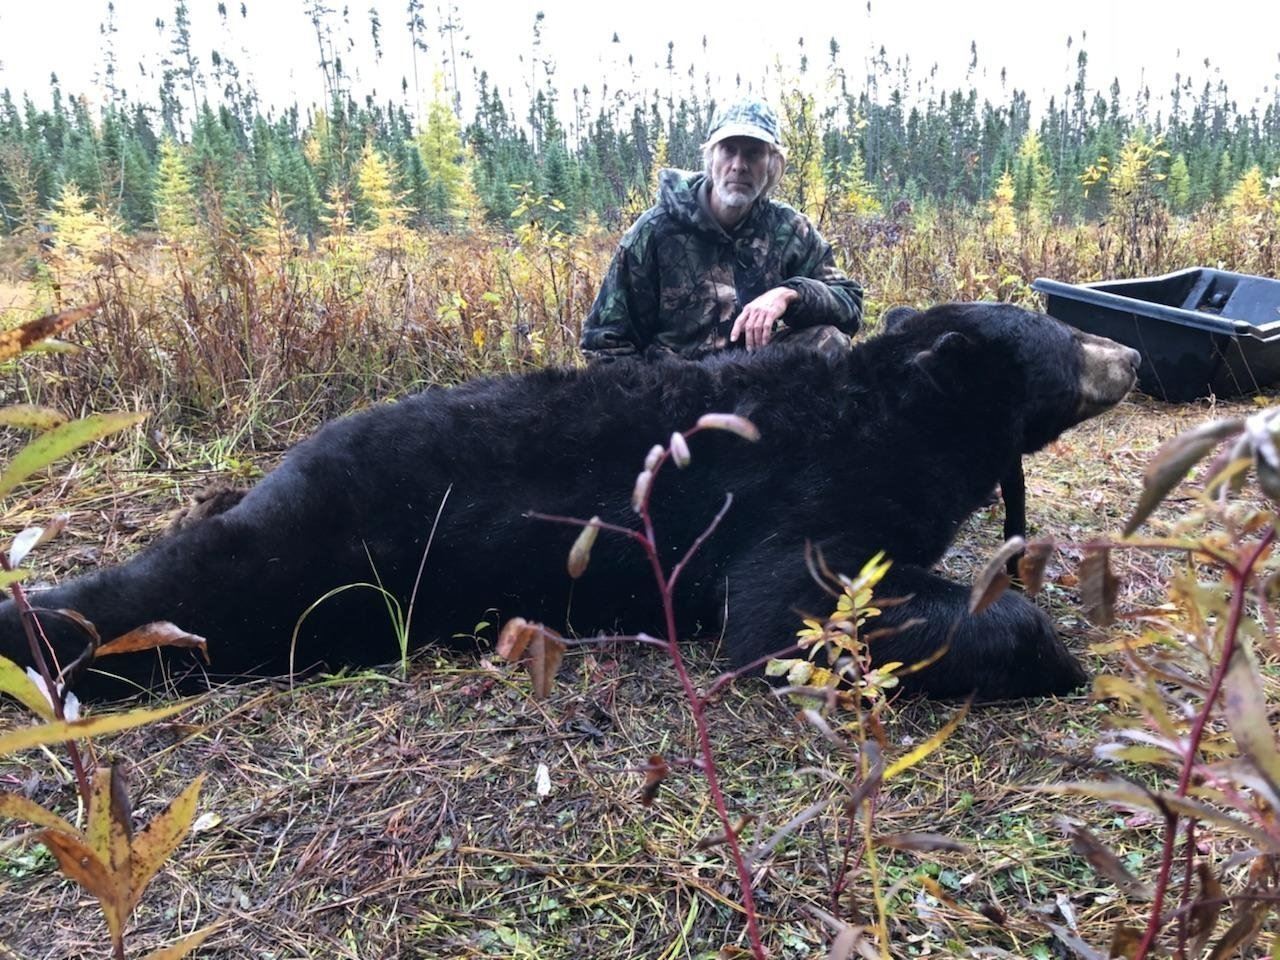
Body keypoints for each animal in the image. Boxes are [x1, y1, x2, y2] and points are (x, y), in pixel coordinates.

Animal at [0, 302, 1141, 702]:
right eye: (1061, 335)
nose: (1129, 351)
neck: (904, 411)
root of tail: (296, 458)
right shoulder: (806, 490)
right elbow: (784, 610)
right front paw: (1055, 653)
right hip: (333, 547)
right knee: (189, 590)